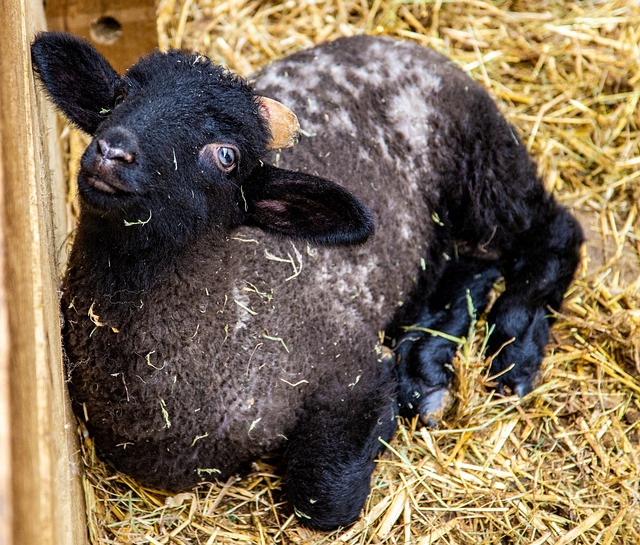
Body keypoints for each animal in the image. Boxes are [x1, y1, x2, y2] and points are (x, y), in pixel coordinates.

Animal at [31, 31, 583, 531]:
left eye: (226, 156)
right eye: (121, 95)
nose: (112, 151)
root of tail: (404, 44)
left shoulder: (350, 366)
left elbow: (323, 498)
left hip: (483, 161)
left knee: (552, 231)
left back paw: (513, 349)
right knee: (474, 261)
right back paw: (427, 361)